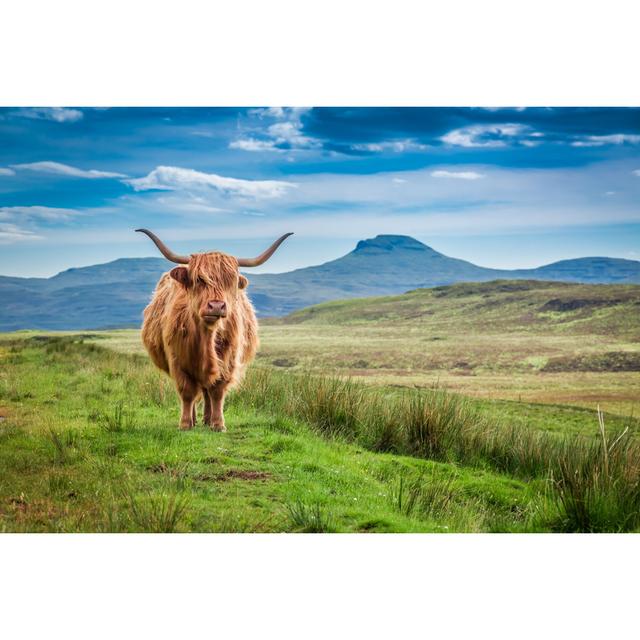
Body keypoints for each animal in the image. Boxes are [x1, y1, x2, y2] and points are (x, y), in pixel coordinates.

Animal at [139, 228, 294, 432]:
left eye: (231, 281)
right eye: (199, 279)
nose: (216, 306)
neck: (206, 337)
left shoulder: (228, 360)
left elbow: (217, 392)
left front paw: (218, 424)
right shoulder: (177, 360)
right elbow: (187, 392)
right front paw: (185, 424)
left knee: (207, 391)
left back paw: (207, 419)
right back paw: (195, 419)